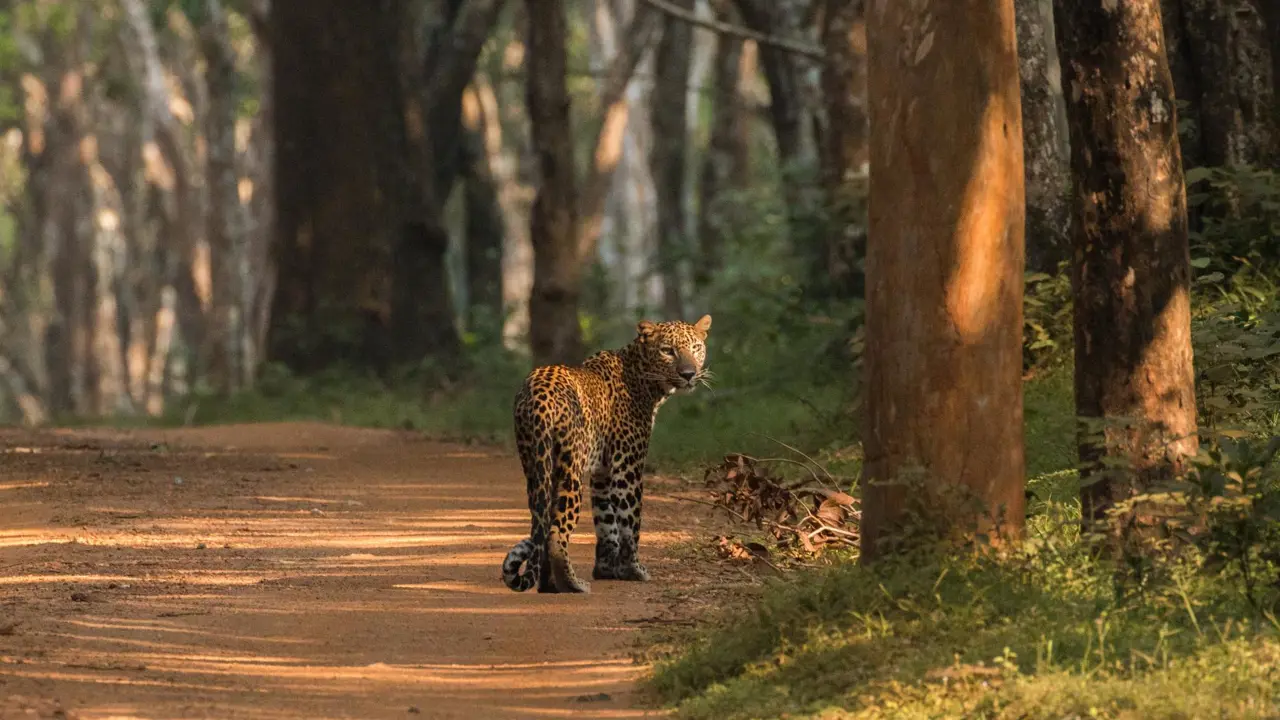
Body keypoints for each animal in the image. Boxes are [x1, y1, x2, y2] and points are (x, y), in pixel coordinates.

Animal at [501, 315, 713, 593]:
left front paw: (607, 569)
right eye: (668, 351)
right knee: (556, 531)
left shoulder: (602, 472)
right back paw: (572, 583)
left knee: (543, 523)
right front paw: (634, 570)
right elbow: (630, 521)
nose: (688, 374)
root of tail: (539, 393)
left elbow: (606, 521)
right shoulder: (627, 466)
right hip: (571, 468)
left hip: (536, 465)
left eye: (696, 348)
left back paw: (550, 585)